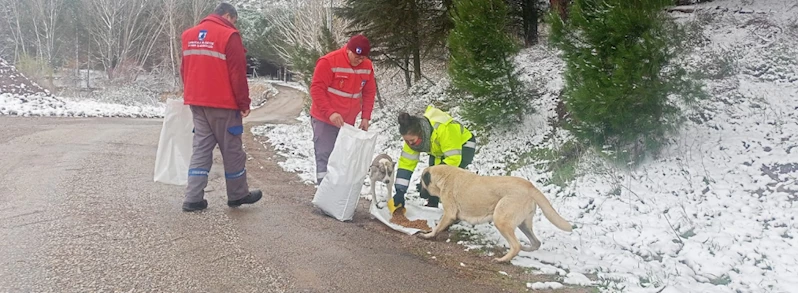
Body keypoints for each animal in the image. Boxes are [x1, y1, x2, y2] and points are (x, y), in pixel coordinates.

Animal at [418, 164, 576, 262]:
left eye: (421, 182)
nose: (419, 191)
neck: (444, 176)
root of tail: (530, 186)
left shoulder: (449, 213)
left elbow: (437, 227)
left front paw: (428, 235)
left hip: (501, 220)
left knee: (516, 245)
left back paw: (503, 260)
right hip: (523, 224)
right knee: (535, 242)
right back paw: (523, 249)